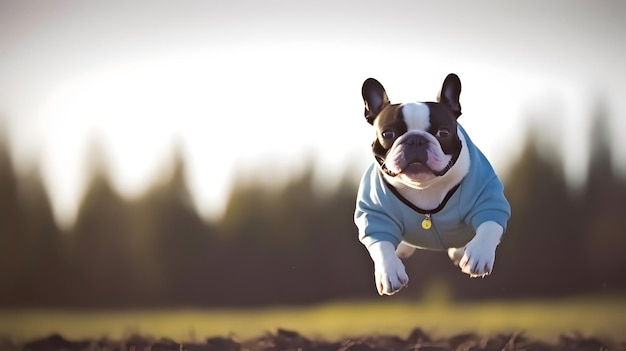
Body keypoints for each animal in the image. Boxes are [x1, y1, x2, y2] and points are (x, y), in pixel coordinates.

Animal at [354, 74, 510, 296]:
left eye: (443, 132)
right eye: (387, 134)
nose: (415, 139)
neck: (423, 186)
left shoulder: (487, 197)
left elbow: (489, 225)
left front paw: (479, 255)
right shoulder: (375, 213)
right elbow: (381, 245)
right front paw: (389, 273)